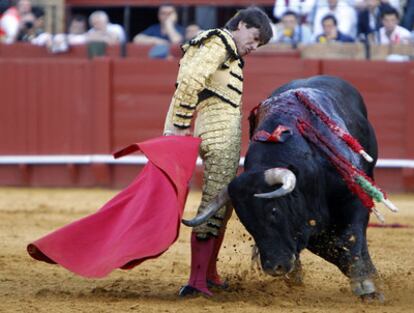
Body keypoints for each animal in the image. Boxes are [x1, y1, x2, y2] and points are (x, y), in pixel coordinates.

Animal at [184, 75, 384, 300]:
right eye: (246, 221)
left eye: (274, 211)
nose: (274, 268)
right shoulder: (307, 225)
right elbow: (331, 246)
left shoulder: (354, 199)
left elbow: (350, 238)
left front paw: (367, 283)